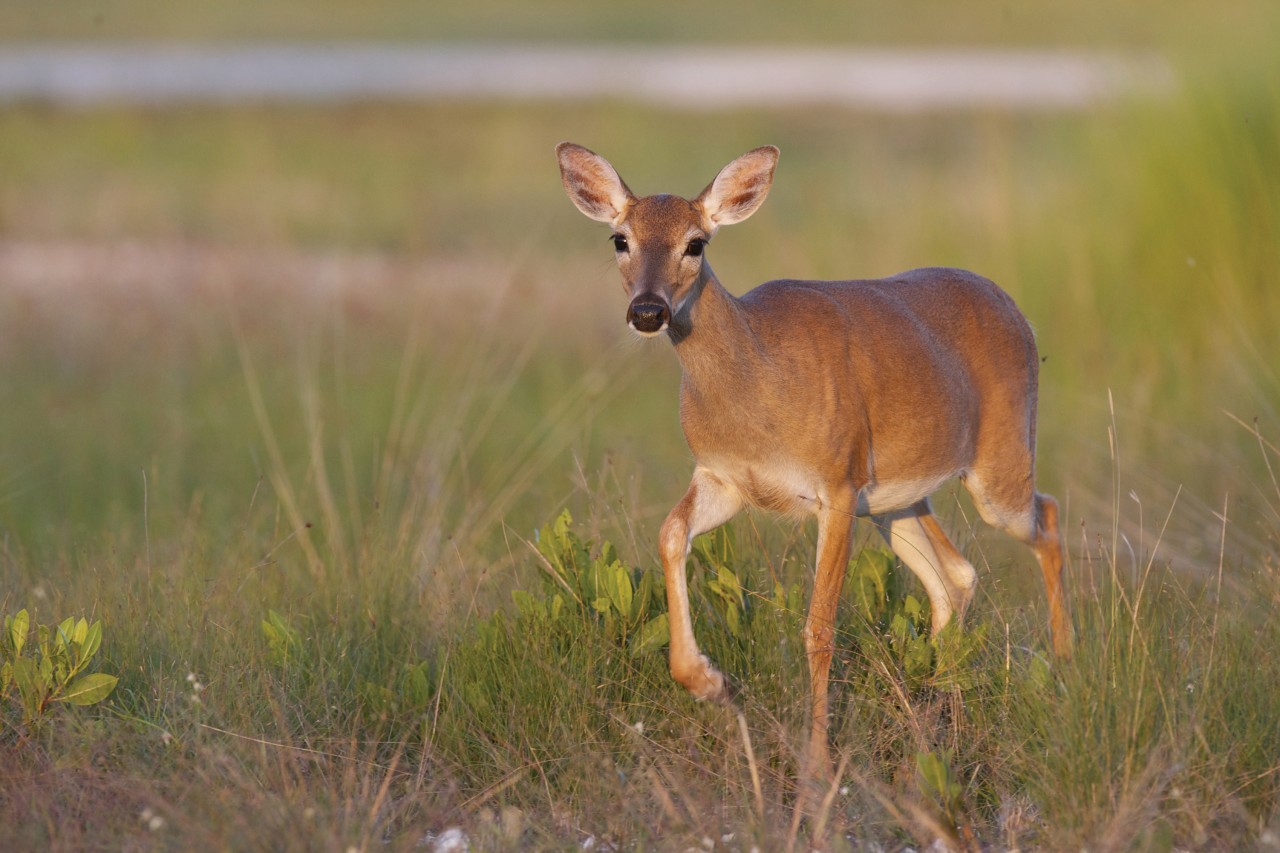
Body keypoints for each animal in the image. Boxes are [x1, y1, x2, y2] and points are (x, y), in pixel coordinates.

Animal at [558, 140, 1070, 799]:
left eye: (697, 243)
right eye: (620, 238)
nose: (648, 311)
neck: (758, 382)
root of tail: (1012, 305)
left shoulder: (836, 484)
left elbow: (819, 628)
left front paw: (820, 769)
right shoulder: (724, 478)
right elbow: (670, 534)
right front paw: (709, 681)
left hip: (997, 463)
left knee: (1046, 518)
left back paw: (1062, 671)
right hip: (896, 501)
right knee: (955, 576)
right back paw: (932, 727)